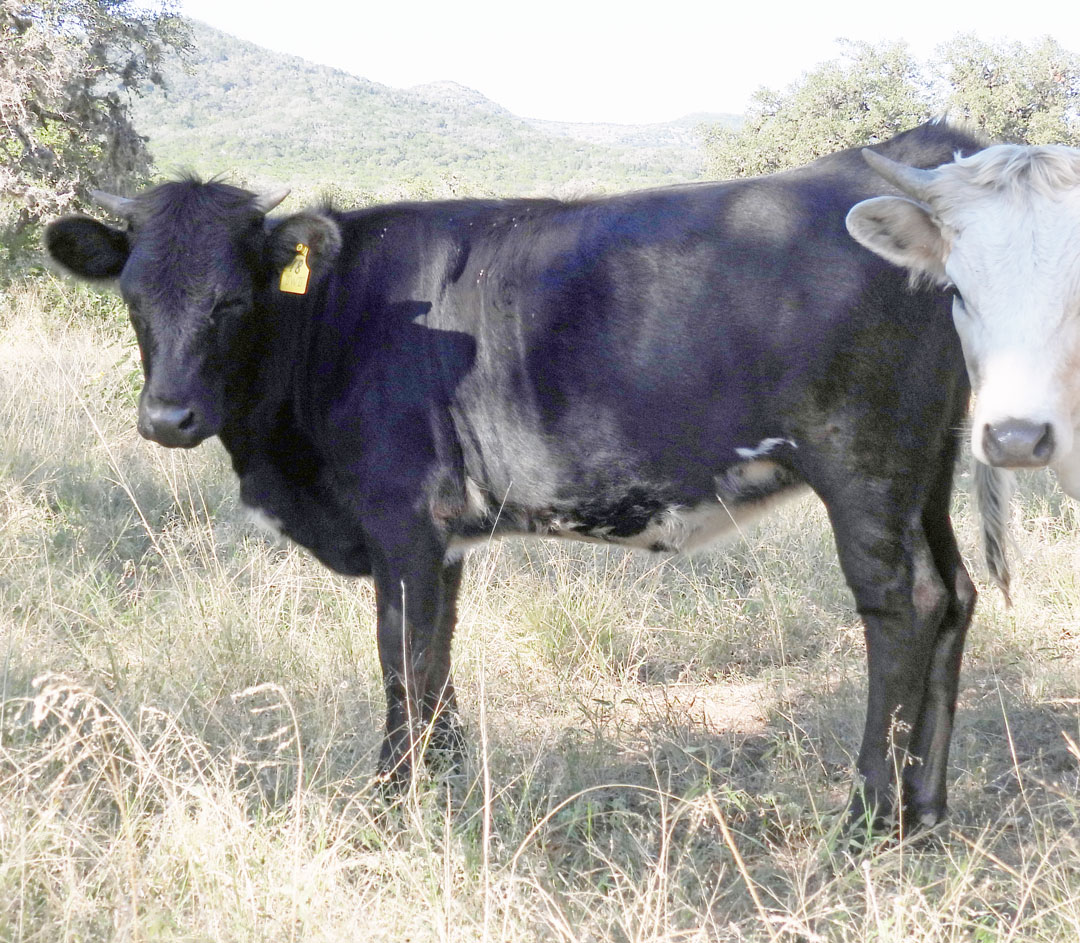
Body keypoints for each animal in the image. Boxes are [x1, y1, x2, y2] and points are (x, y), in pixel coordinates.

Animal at [46, 119, 989, 829]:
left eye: (232, 300)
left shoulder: (402, 519)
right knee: (956, 592)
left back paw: (867, 818)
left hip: (866, 465)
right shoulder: (442, 538)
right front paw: (442, 786)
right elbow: (437, 658)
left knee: (905, 602)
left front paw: (391, 803)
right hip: (931, 467)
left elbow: (403, 660)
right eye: (133, 296)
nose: (167, 418)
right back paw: (927, 812)